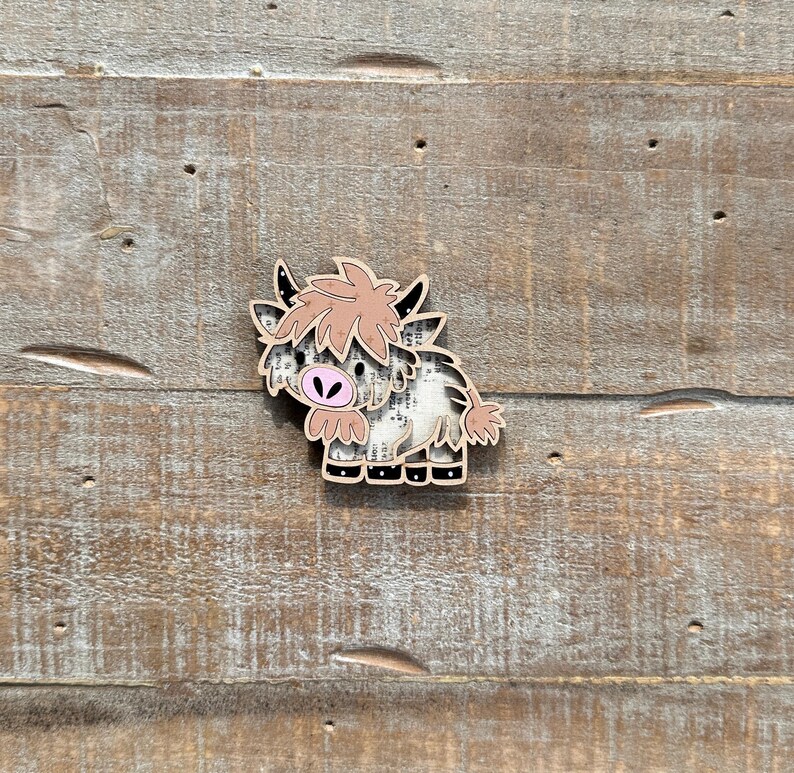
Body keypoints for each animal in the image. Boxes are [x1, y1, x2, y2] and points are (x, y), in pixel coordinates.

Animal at [250, 258, 504, 485]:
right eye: (299, 357)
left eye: (361, 367)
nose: (326, 380)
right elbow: (340, 456)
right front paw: (342, 472)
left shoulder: (385, 434)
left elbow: (380, 456)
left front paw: (382, 474)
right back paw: (416, 474)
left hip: (447, 428)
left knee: (444, 451)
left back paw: (443, 474)